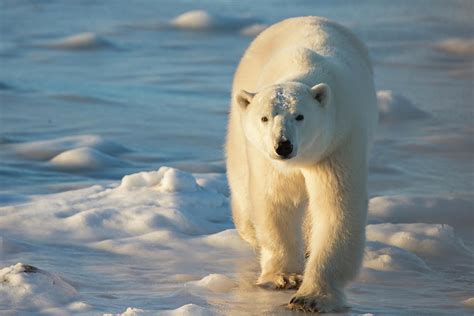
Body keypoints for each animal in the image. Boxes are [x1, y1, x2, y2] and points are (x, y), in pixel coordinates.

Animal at [226, 16, 378, 312]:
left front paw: (312, 297)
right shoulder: (268, 161)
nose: (283, 146)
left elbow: (335, 206)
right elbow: (275, 200)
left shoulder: (337, 143)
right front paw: (284, 276)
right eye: (264, 118)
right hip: (240, 131)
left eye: (300, 116)